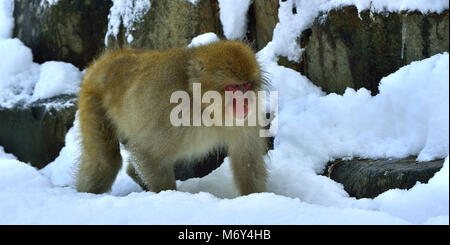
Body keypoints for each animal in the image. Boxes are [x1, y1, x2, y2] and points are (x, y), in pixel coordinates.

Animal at [75, 41, 268, 196]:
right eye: (233, 87)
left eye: (246, 86)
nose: (245, 103)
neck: (202, 106)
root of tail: (105, 60)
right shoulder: (168, 112)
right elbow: (147, 154)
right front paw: (168, 197)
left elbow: (248, 160)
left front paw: (255, 198)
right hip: (92, 100)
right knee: (106, 161)